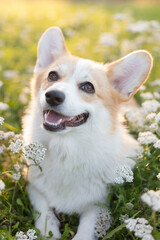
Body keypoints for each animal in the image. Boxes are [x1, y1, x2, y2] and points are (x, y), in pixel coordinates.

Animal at [22, 26, 152, 240]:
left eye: (88, 87)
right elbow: (44, 212)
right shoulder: (34, 187)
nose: (53, 96)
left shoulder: (99, 203)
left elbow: (87, 228)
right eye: (52, 76)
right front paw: (49, 231)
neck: (66, 148)